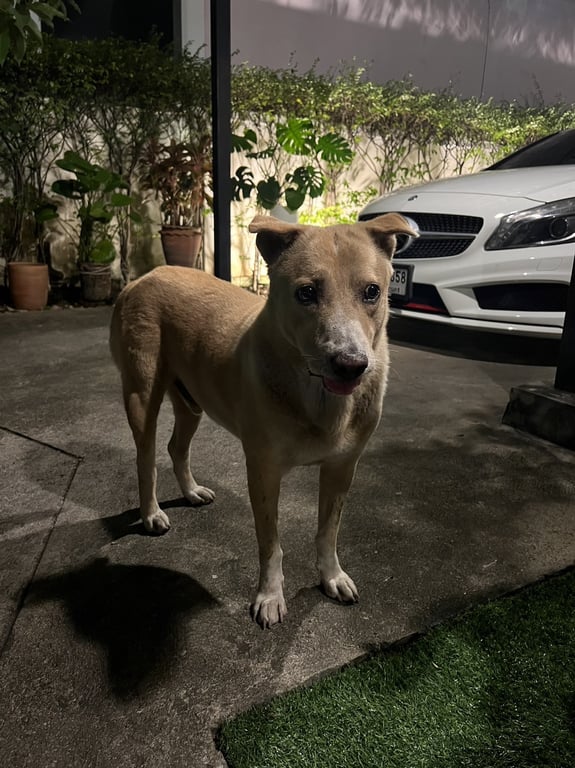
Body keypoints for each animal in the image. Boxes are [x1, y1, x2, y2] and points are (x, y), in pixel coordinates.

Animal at [109, 213, 415, 628]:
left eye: (372, 291)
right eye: (306, 292)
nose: (351, 365)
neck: (316, 395)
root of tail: (145, 277)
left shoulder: (342, 469)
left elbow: (328, 532)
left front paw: (332, 577)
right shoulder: (263, 472)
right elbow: (271, 543)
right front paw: (269, 597)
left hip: (191, 402)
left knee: (176, 447)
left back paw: (191, 492)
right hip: (142, 396)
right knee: (146, 460)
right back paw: (152, 514)